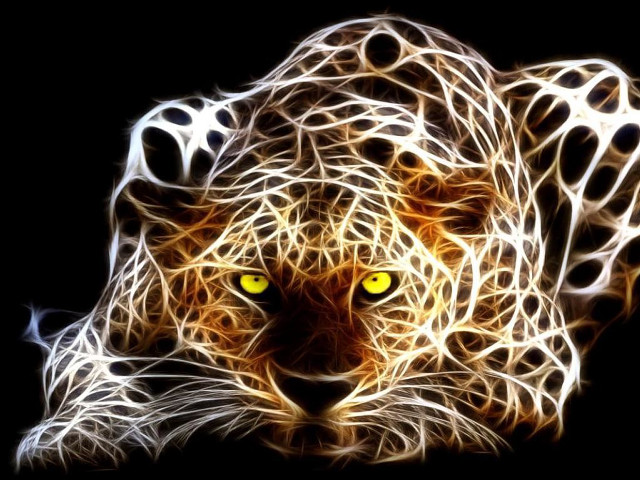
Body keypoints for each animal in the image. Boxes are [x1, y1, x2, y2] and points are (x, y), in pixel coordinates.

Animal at [16, 15, 639, 468]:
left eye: (378, 285)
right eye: (253, 284)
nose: (314, 392)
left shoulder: (536, 366)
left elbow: (446, 392)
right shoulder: (94, 334)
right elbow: (91, 379)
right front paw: (77, 439)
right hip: (167, 121)